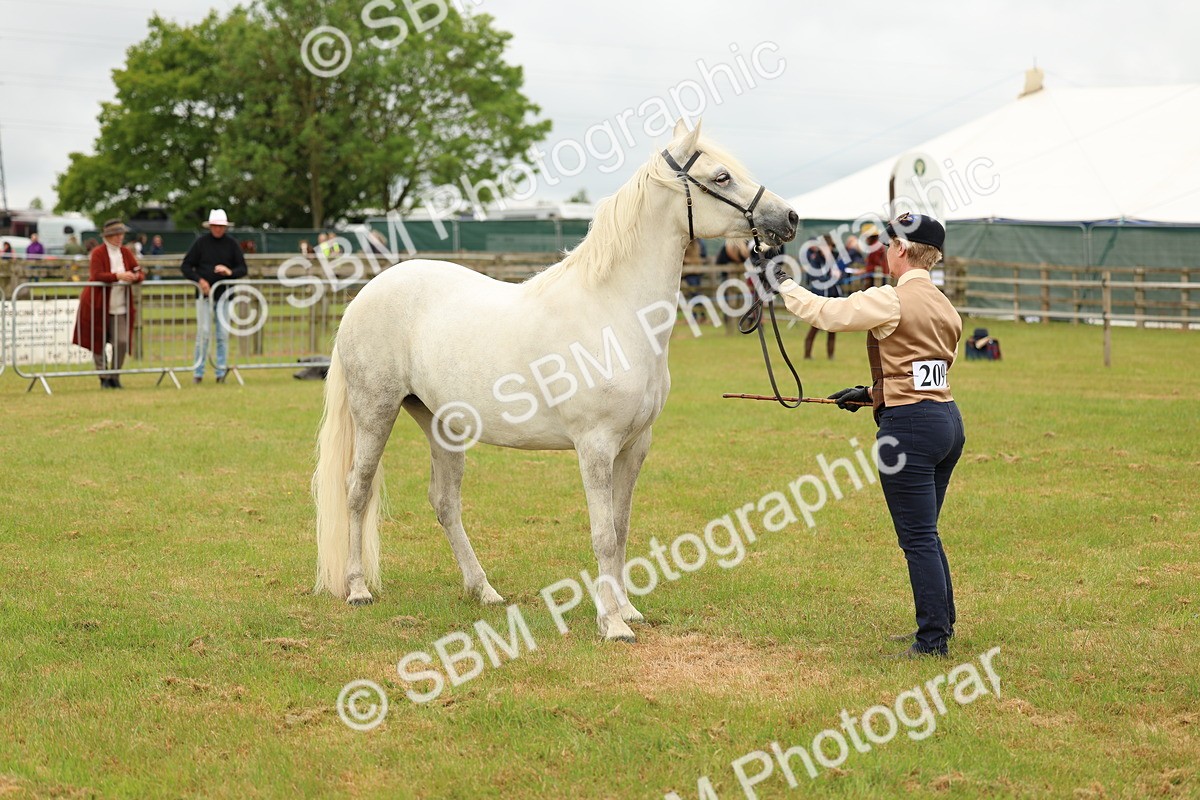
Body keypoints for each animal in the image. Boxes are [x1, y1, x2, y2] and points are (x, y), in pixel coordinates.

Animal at [313, 119, 797, 641]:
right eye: (722, 176)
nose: (789, 217)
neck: (614, 312)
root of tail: (366, 293)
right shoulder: (596, 445)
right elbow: (603, 535)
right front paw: (612, 624)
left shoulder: (635, 445)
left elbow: (621, 528)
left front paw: (627, 609)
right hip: (375, 412)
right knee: (357, 490)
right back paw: (358, 589)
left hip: (441, 424)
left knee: (445, 503)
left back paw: (483, 590)